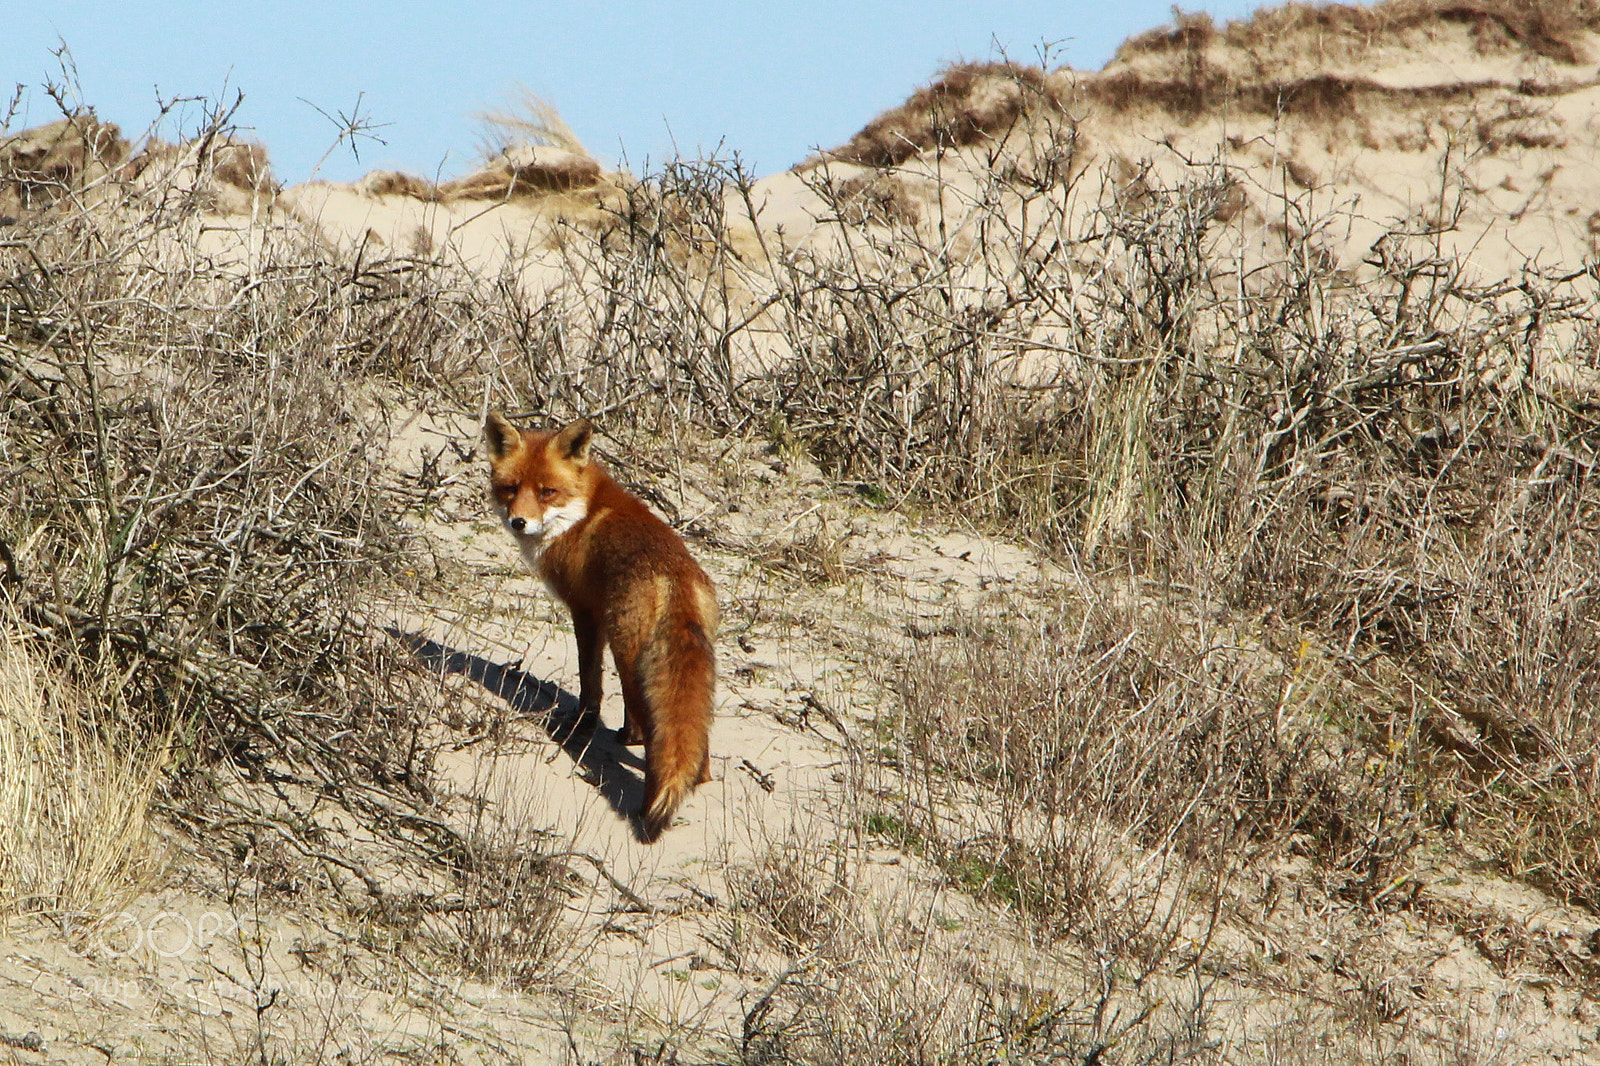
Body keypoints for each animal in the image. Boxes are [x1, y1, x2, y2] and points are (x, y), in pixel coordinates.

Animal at [484, 413, 717, 842]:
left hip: (629, 654)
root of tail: (674, 576)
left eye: (547, 491)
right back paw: (697, 776)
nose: (518, 522)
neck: (581, 511)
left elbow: (589, 682)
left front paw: (581, 725)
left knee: (650, 731)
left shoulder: (585, 612)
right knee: (697, 741)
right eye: (510, 488)